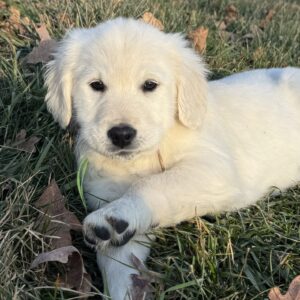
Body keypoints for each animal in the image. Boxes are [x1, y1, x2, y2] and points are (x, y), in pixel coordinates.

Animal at [44, 17, 300, 298]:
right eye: (97, 86)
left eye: (150, 85)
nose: (121, 135)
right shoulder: (105, 194)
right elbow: (118, 262)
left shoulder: (215, 170)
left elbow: (153, 184)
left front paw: (116, 216)